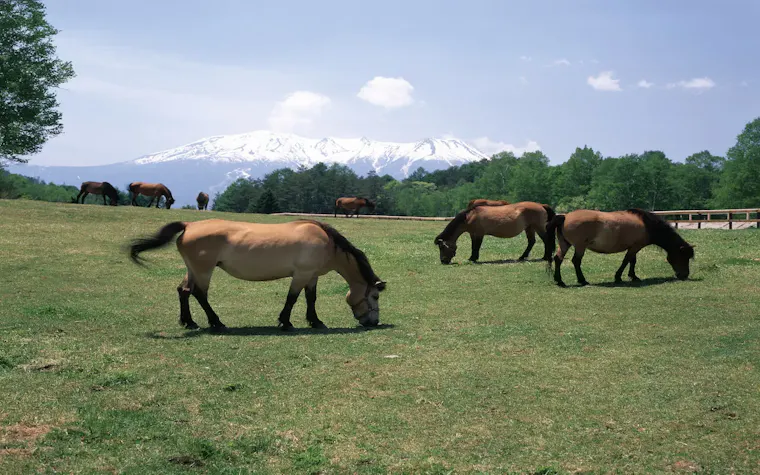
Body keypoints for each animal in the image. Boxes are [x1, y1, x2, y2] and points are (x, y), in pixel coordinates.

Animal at [128, 219, 387, 331]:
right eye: (375, 296)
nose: (373, 322)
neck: (327, 242)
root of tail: (189, 225)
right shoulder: (301, 274)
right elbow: (292, 299)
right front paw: (285, 322)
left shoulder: (311, 276)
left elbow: (310, 299)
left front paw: (315, 321)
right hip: (204, 271)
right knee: (200, 294)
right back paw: (216, 322)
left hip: (193, 269)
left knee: (184, 291)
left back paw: (189, 322)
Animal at [545, 208, 696, 287]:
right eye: (683, 257)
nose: (684, 275)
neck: (646, 224)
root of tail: (565, 216)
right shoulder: (635, 246)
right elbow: (627, 261)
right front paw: (619, 277)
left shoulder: (634, 247)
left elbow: (632, 261)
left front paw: (633, 276)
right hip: (580, 246)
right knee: (576, 261)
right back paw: (582, 280)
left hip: (565, 244)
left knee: (558, 259)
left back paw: (560, 281)